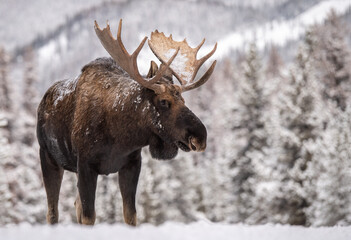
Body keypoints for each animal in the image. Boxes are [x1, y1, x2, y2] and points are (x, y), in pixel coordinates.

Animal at [36, 19, 217, 226]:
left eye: (183, 100)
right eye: (164, 101)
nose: (200, 137)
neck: (120, 137)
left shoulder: (131, 164)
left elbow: (130, 216)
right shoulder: (86, 164)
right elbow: (89, 217)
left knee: (75, 204)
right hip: (48, 156)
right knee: (52, 212)